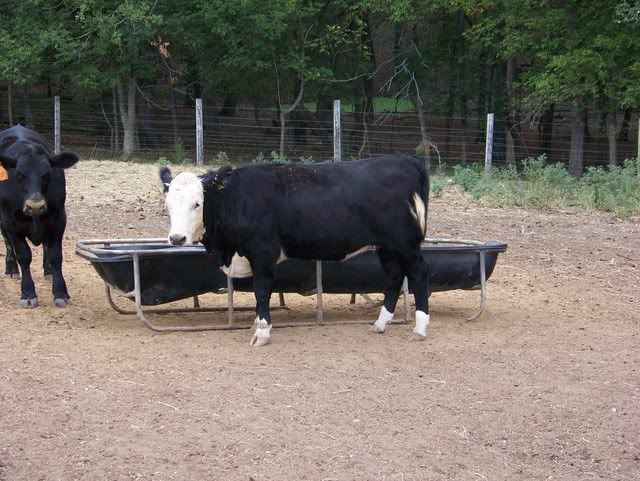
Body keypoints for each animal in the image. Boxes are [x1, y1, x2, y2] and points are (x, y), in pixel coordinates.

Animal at [0, 125, 79, 308]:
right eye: (19, 175)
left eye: (47, 174)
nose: (35, 206)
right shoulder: (11, 223)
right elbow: (23, 255)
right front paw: (28, 293)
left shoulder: (58, 219)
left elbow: (55, 254)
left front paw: (60, 293)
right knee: (7, 241)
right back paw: (11, 269)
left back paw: (48, 270)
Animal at [159, 154, 430, 347]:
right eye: (168, 204)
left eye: (197, 203)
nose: (177, 238)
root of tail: (406, 160)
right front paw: (257, 325)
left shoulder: (263, 252)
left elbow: (261, 290)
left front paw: (263, 332)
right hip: (387, 247)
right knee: (394, 276)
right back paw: (381, 323)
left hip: (405, 245)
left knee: (418, 274)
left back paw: (419, 328)